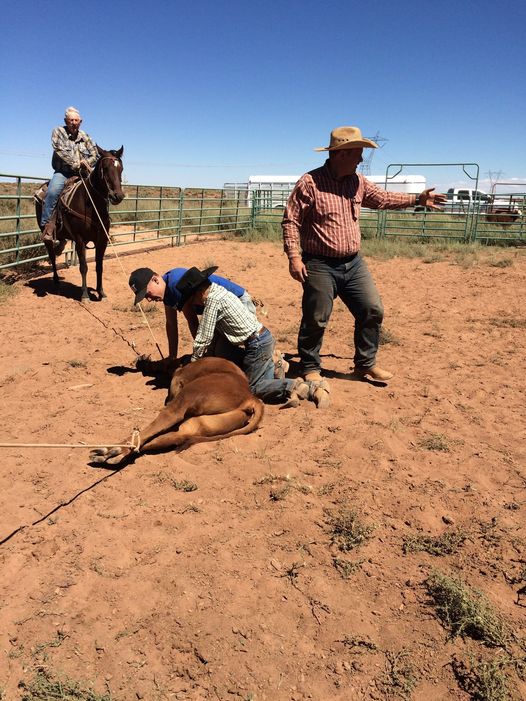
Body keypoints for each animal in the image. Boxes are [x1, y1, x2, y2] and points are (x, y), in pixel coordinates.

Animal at [89, 357, 264, 467]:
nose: (139, 362)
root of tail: (250, 397)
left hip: (188, 397)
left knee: (163, 421)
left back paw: (113, 451)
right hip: (203, 423)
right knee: (173, 437)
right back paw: (108, 455)